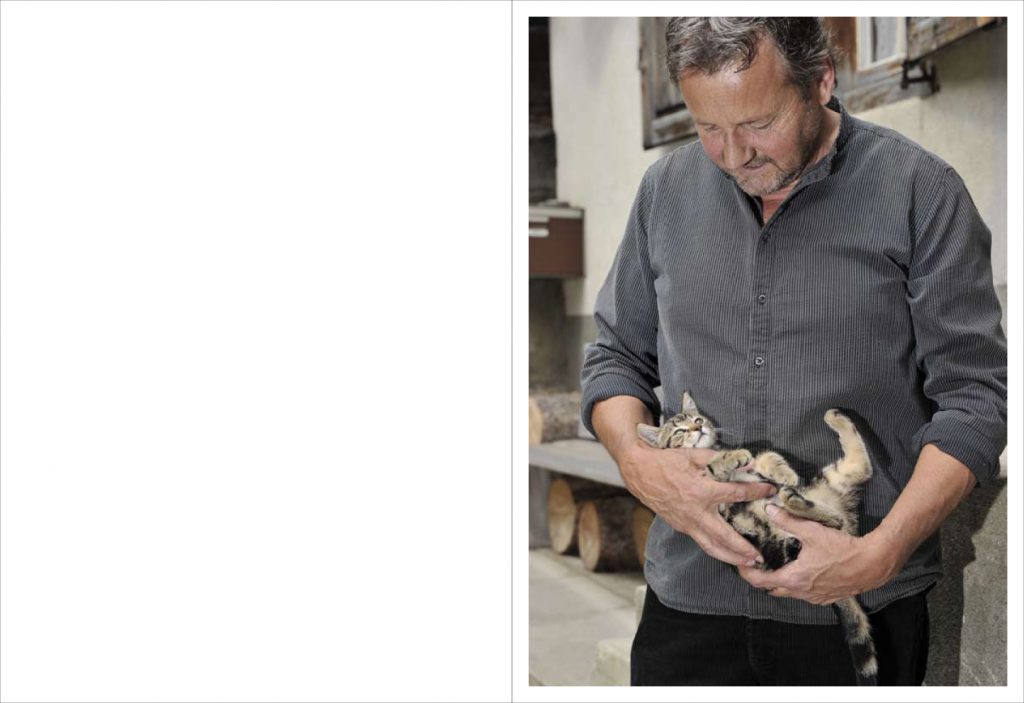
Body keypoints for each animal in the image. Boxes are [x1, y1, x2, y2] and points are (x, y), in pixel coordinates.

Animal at [637, 391, 878, 686]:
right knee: (833, 504)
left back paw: (831, 424)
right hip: (782, 545)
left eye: (697, 419)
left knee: (860, 467)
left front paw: (783, 471)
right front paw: (730, 457)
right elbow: (713, 468)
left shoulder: (760, 471)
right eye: (680, 431)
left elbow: (765, 454)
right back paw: (805, 504)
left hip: (828, 486)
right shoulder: (714, 497)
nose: (698, 429)